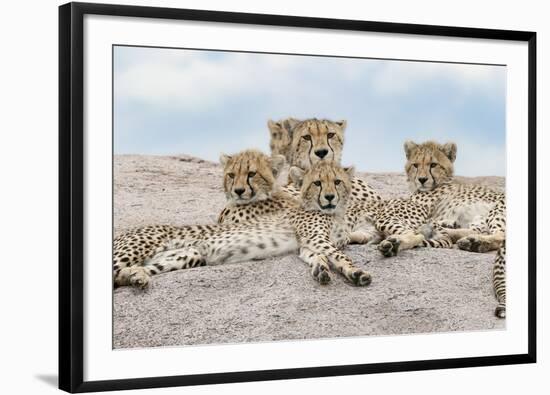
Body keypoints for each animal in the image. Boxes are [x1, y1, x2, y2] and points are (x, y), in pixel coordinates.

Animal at [114, 160, 374, 288]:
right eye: (317, 183)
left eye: (337, 182)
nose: (329, 197)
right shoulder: (316, 238)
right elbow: (339, 255)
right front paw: (357, 272)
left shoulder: (308, 243)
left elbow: (317, 256)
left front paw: (322, 269)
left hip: (185, 256)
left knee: (126, 275)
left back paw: (136, 277)